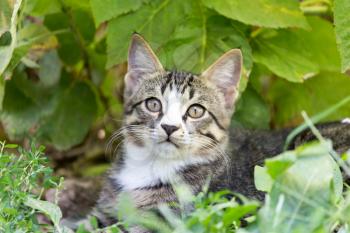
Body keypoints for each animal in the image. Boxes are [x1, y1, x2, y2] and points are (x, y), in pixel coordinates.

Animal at [67, 34, 348, 231]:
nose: (169, 127)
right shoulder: (103, 214)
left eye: (195, 111)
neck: (149, 165)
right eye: (153, 104)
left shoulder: (164, 221)